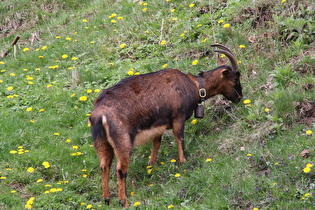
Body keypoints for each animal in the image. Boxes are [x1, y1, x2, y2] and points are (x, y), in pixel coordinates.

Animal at [89, 44, 244, 207]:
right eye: (235, 78)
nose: (240, 97)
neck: (194, 86)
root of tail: (100, 115)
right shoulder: (178, 117)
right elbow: (179, 139)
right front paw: (183, 162)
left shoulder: (158, 127)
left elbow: (156, 144)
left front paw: (152, 165)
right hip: (123, 140)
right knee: (120, 169)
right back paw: (123, 201)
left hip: (102, 142)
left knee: (104, 165)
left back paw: (107, 199)